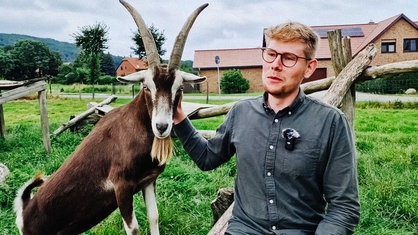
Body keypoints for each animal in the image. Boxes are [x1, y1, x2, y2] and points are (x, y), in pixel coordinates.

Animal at [13, 0, 207, 234]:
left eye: (179, 88)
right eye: (146, 87)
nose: (161, 127)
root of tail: (24, 212)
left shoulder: (148, 180)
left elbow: (154, 217)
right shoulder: (122, 186)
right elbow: (133, 228)